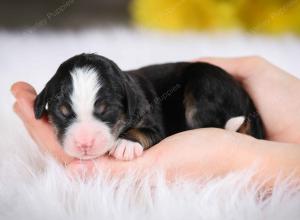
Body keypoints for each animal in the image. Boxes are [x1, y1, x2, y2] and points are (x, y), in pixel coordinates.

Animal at [34, 53, 264, 160]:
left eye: (106, 110)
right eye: (62, 111)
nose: (84, 144)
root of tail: (248, 100)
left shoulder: (153, 120)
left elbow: (147, 131)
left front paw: (125, 144)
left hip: (204, 83)